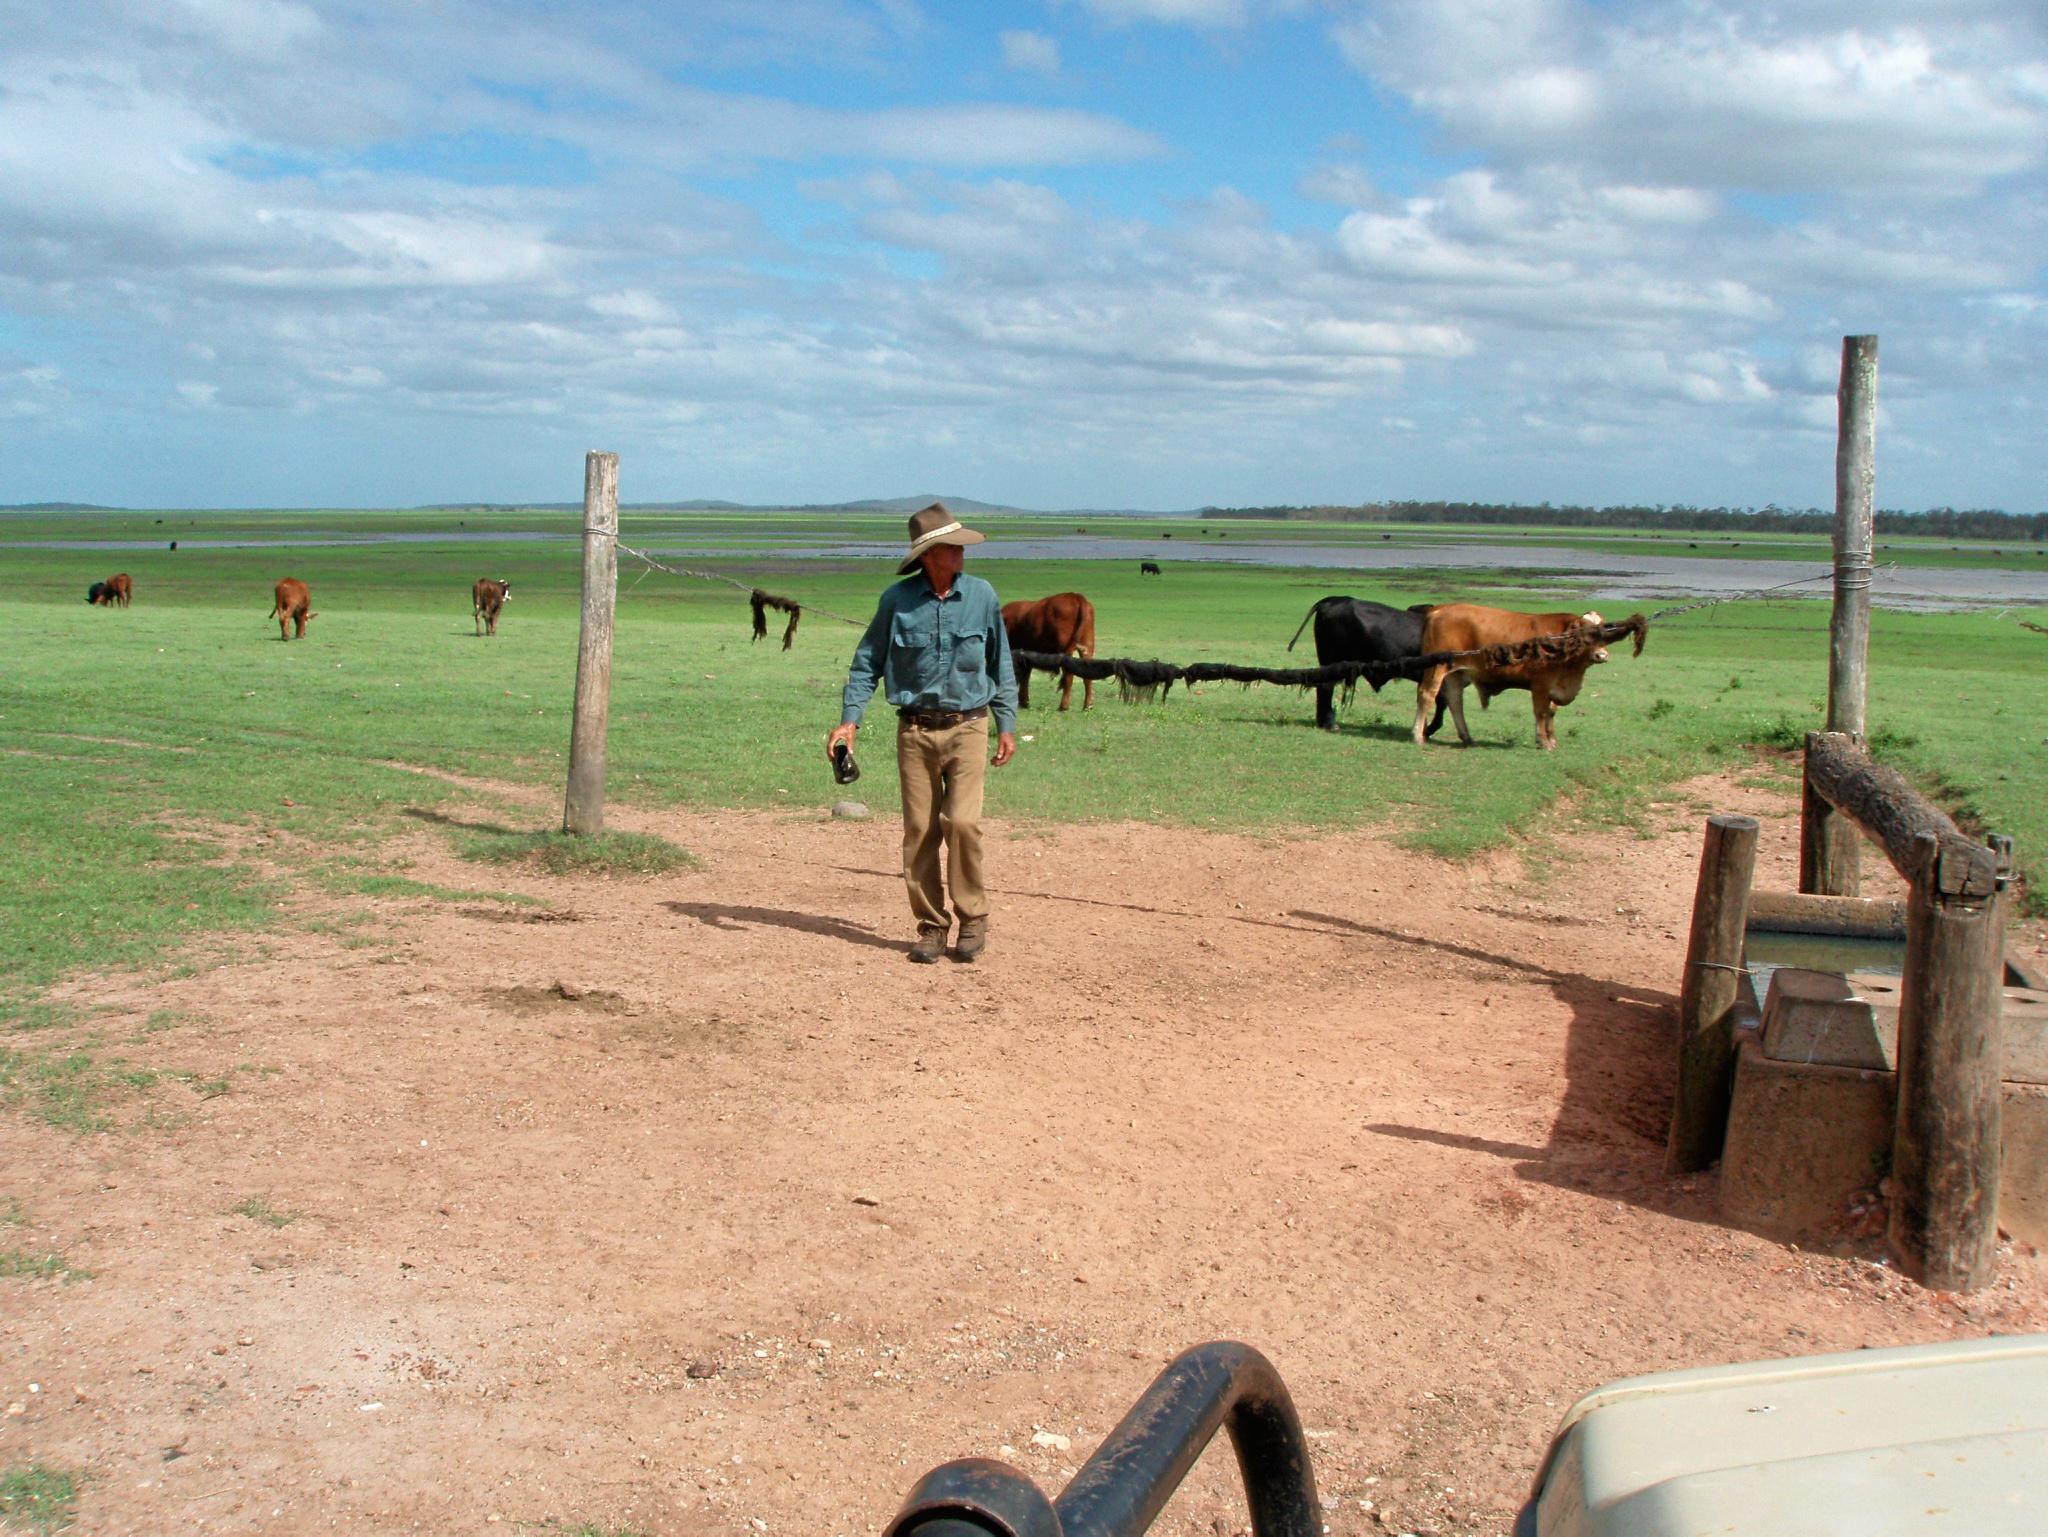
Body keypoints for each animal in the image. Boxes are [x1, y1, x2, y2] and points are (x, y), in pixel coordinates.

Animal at [1286, 594, 1449, 741]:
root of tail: (1332, 600)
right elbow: (1440, 702)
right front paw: (1427, 730)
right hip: (1331, 660)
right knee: (1326, 687)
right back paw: (1330, 723)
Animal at [1417, 606, 1605, 750]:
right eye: (1586, 631)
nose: (1601, 655)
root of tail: (1439, 611)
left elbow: (1551, 712)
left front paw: (1552, 740)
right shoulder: (1540, 685)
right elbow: (1541, 712)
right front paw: (1543, 742)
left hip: (1455, 674)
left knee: (1455, 701)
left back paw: (1467, 738)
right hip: (1436, 667)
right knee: (1426, 695)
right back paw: (1419, 736)